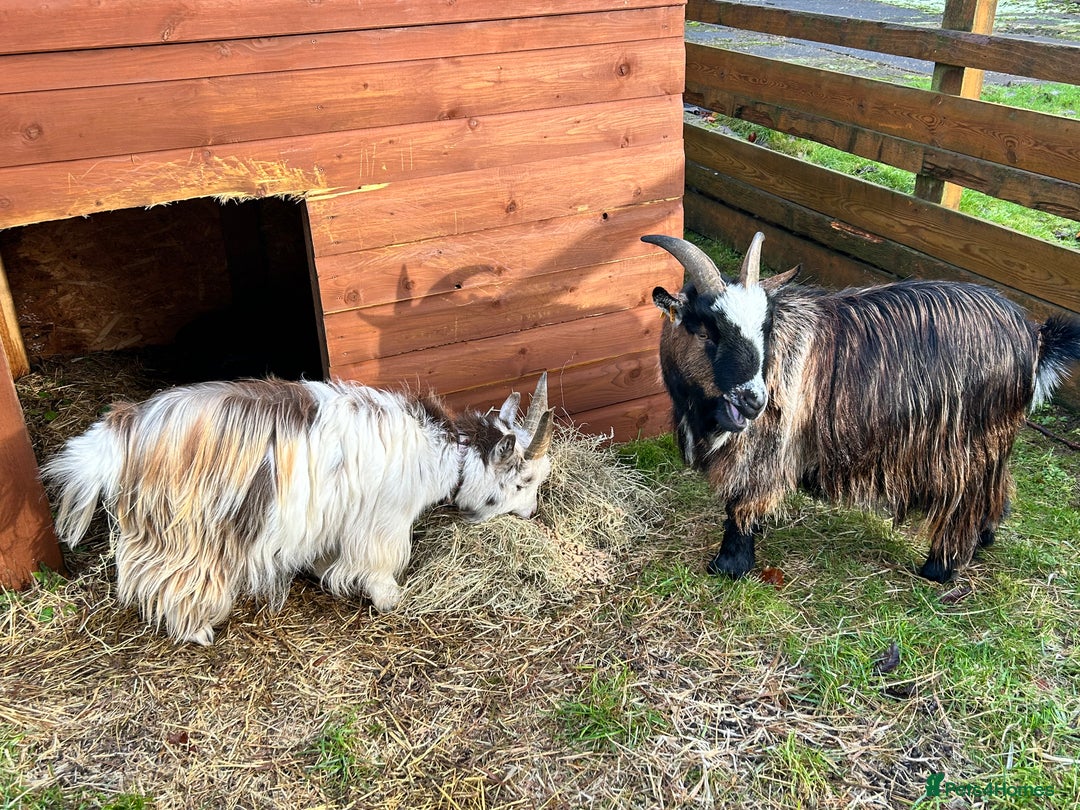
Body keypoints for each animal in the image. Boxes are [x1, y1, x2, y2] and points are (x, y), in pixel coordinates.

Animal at [42, 374, 555, 644]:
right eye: (525, 480)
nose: (531, 514)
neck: (440, 450)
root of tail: (126, 429)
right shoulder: (382, 522)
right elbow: (380, 564)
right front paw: (390, 599)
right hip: (186, 531)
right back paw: (197, 629)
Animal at [644, 231, 1080, 582]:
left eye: (764, 330)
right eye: (705, 331)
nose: (754, 400)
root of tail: (1034, 338)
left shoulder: (763, 446)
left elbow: (740, 503)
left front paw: (729, 565)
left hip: (965, 444)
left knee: (964, 500)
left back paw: (939, 568)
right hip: (993, 440)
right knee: (996, 487)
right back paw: (985, 538)